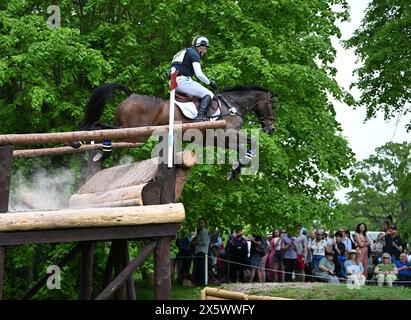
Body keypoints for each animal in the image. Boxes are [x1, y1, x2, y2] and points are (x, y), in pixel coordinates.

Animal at [76, 82, 278, 179]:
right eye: (272, 105)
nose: (271, 128)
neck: (231, 105)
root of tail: (131, 95)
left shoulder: (217, 140)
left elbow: (244, 147)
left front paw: (235, 169)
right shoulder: (225, 134)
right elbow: (252, 143)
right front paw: (239, 166)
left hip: (129, 130)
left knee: (105, 129)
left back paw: (95, 150)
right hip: (135, 131)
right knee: (104, 129)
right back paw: (87, 144)